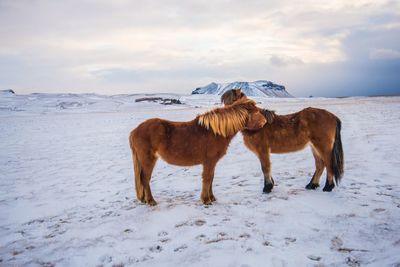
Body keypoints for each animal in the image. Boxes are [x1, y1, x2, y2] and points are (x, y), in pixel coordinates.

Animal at [130, 98, 268, 205]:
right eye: (256, 111)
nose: (265, 122)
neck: (216, 132)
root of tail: (135, 130)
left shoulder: (211, 163)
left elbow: (211, 178)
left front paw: (212, 198)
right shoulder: (209, 162)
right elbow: (207, 178)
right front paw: (206, 200)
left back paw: (144, 200)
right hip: (148, 160)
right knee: (145, 179)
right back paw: (151, 201)